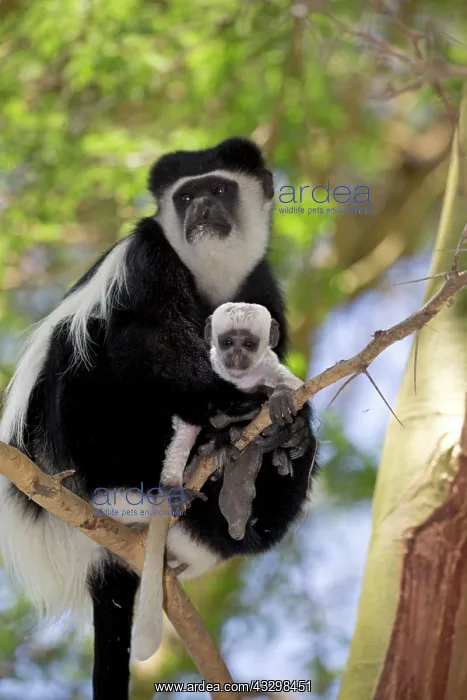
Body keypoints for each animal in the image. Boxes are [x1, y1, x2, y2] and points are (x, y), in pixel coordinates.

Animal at [132, 302, 304, 661]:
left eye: (248, 344)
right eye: (227, 343)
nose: (235, 355)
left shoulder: (268, 364)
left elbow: (296, 388)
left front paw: (282, 402)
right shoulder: (206, 372)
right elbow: (188, 420)